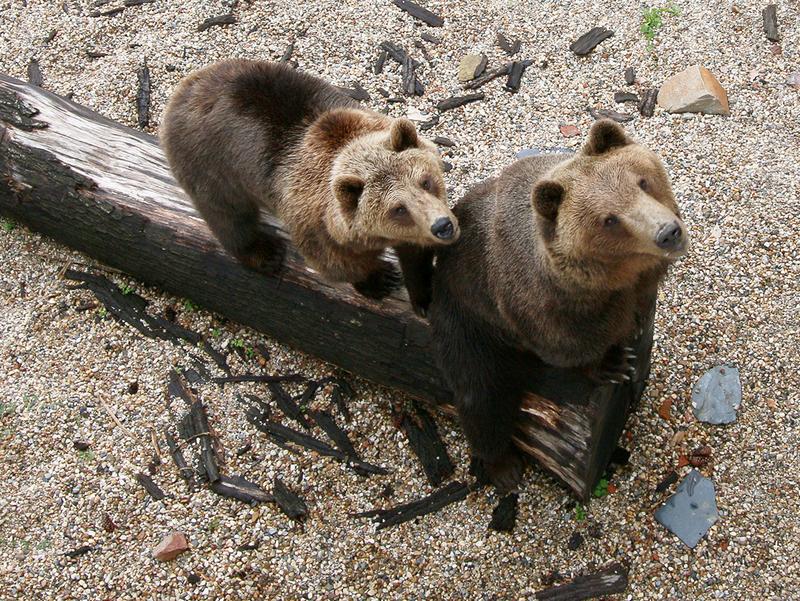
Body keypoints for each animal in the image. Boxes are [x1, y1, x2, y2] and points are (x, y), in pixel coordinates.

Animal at [160, 58, 460, 308]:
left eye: (426, 181)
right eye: (398, 209)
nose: (443, 226)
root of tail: (185, 88)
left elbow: (415, 254)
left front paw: (424, 296)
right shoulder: (316, 222)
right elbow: (337, 263)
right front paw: (380, 278)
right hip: (211, 166)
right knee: (230, 218)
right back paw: (264, 253)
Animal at [432, 119, 688, 490]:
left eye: (642, 182)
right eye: (610, 219)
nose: (668, 232)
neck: (612, 281)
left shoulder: (638, 283)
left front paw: (638, 324)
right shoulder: (540, 307)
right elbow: (565, 347)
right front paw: (613, 362)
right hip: (466, 318)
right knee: (480, 395)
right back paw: (503, 466)